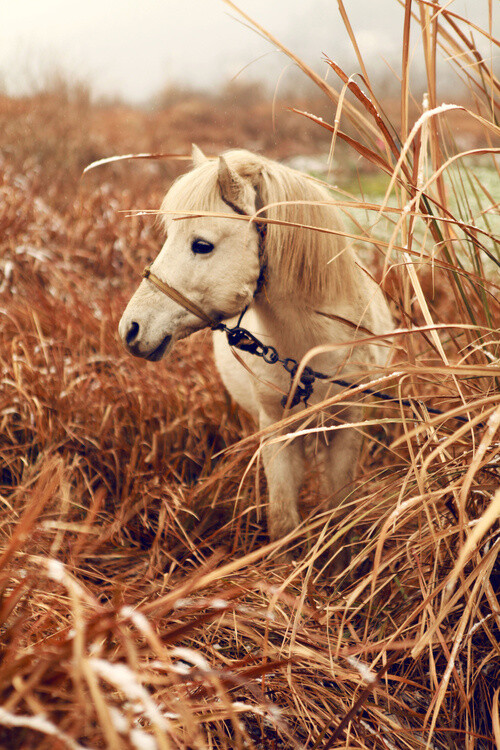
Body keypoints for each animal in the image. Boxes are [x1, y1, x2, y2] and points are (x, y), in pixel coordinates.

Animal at [119, 147, 392, 548]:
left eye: (202, 245)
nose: (131, 329)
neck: (311, 353)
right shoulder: (276, 430)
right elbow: (283, 521)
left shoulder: (348, 426)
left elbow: (340, 513)